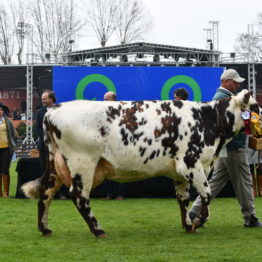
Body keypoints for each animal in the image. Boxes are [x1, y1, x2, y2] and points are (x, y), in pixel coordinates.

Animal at [22, 89, 262, 237]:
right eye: (255, 107)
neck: (207, 119)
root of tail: (54, 109)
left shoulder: (180, 172)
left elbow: (183, 199)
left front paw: (187, 225)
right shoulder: (191, 163)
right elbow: (207, 194)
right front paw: (199, 221)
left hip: (56, 163)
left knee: (45, 192)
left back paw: (44, 228)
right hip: (83, 163)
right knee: (79, 196)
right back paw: (98, 230)